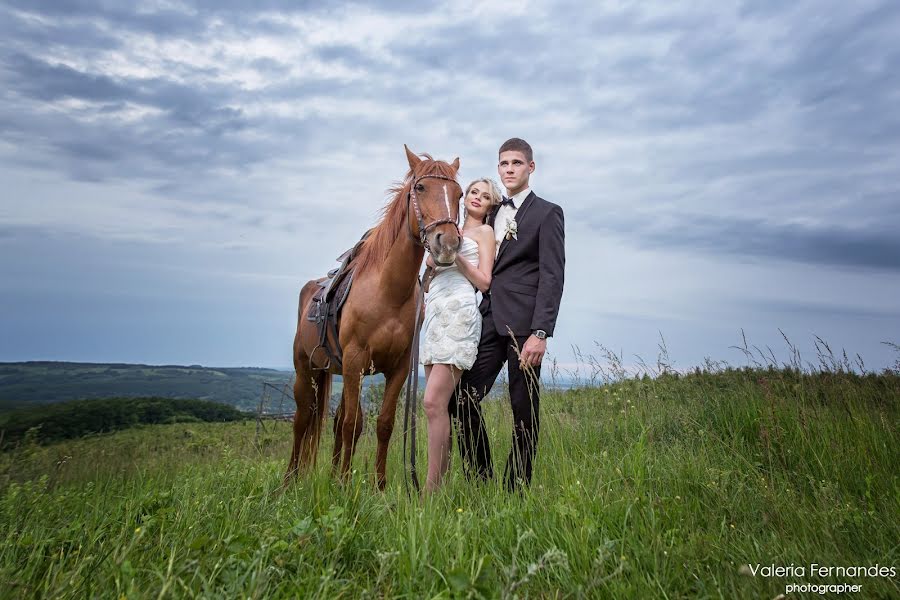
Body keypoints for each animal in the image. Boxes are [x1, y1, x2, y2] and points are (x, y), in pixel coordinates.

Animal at [284, 146, 464, 492]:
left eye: (459, 194)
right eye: (421, 188)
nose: (447, 244)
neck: (388, 291)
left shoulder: (397, 368)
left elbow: (383, 424)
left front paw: (378, 486)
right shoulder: (356, 361)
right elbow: (353, 424)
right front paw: (344, 486)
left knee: (334, 421)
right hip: (307, 370)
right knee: (302, 420)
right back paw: (290, 480)